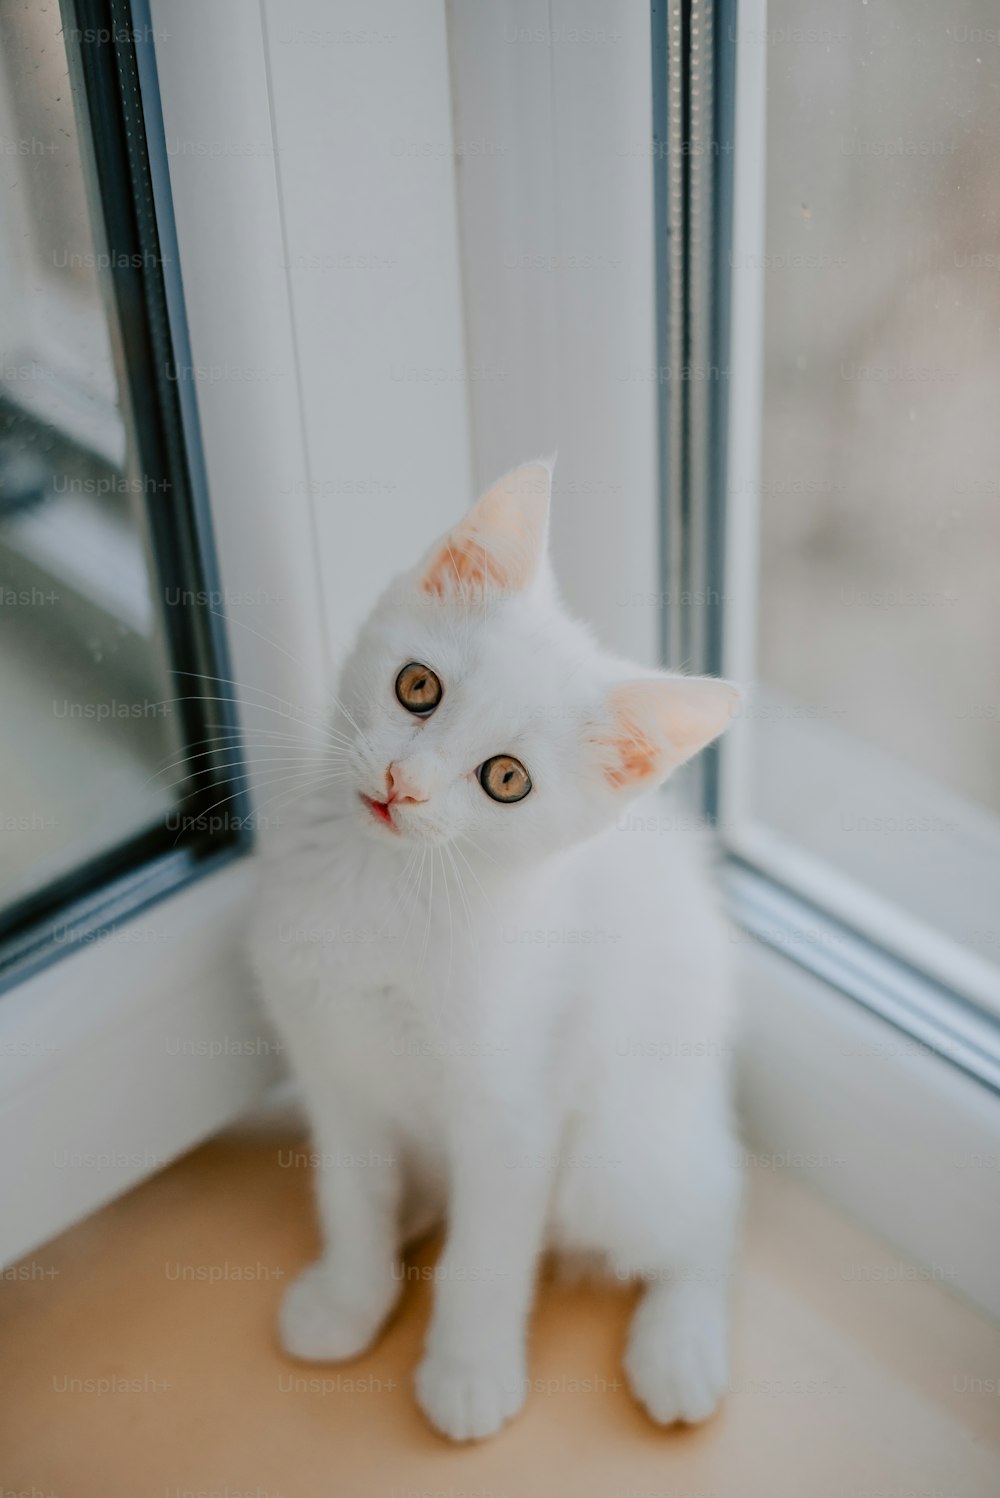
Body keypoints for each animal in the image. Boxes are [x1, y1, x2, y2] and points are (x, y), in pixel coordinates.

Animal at [249, 458, 742, 1438]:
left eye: (505, 780)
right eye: (417, 688)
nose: (404, 783)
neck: (393, 886)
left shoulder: (513, 1105)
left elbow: (487, 1251)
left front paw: (469, 1371)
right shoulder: (332, 1063)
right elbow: (350, 1192)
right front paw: (351, 1298)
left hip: (616, 1150)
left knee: (707, 1209)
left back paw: (680, 1345)